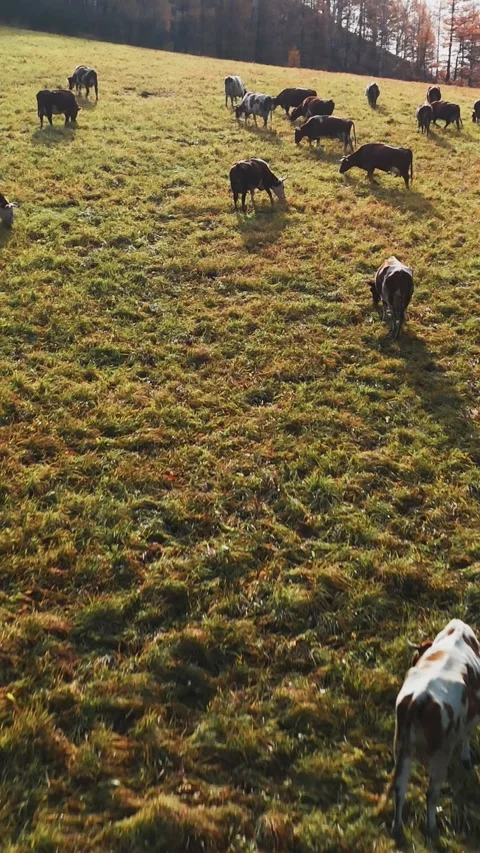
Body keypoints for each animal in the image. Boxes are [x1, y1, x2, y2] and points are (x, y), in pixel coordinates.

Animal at [378, 619, 480, 838]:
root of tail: (419, 698)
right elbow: (467, 735)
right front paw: (466, 758)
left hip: (402, 746)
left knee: (399, 787)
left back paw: (397, 827)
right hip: (440, 753)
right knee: (431, 793)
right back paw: (432, 828)